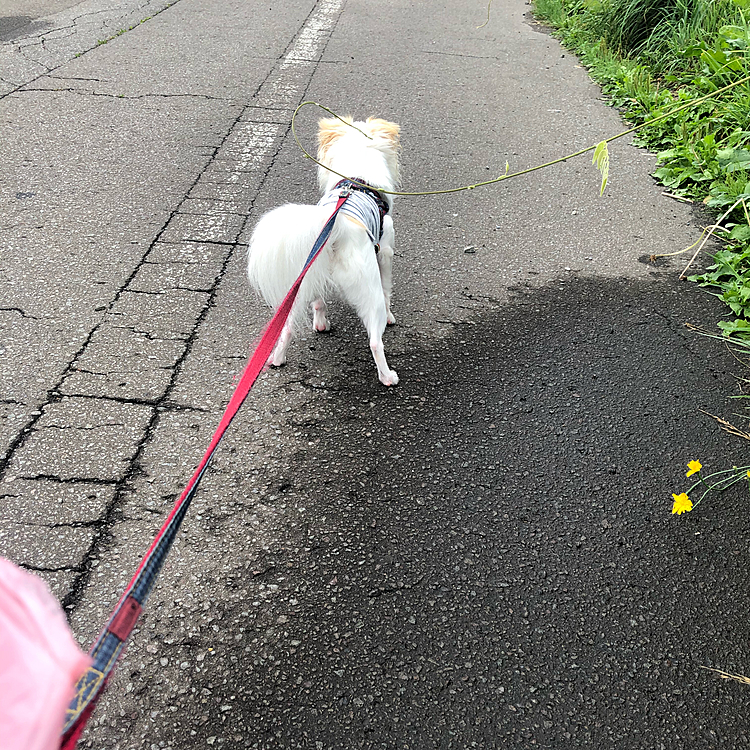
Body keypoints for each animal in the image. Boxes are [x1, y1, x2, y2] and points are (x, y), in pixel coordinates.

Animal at [248, 119, 402, 388]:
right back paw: (388, 377)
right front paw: (391, 315)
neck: (357, 177)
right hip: (368, 287)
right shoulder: (385, 249)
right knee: (375, 340)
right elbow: (387, 288)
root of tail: (339, 228)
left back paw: (279, 357)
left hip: (300, 284)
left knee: (288, 327)